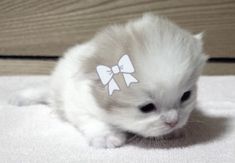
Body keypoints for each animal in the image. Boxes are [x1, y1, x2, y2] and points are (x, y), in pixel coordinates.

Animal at [9, 14, 207, 148]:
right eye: (147, 108)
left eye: (186, 96)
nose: (173, 122)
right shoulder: (77, 102)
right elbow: (94, 120)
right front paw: (107, 137)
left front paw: (175, 131)